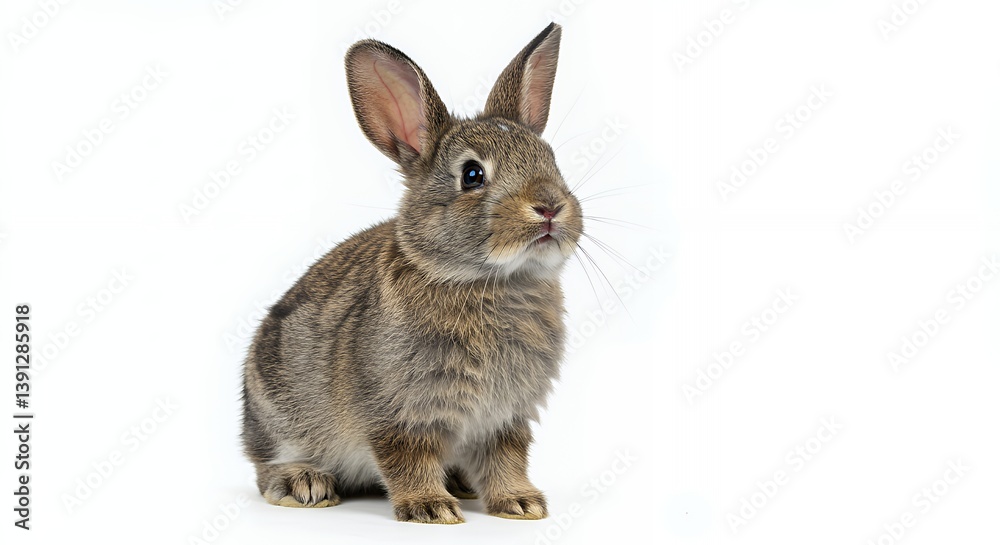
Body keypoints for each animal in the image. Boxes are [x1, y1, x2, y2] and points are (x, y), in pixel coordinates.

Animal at [241, 22, 582, 524]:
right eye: (473, 175)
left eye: (551, 159)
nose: (550, 206)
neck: (486, 279)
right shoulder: (398, 411)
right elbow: (408, 457)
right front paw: (430, 508)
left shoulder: (504, 417)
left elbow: (506, 457)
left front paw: (520, 503)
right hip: (280, 413)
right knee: (266, 465)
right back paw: (304, 483)